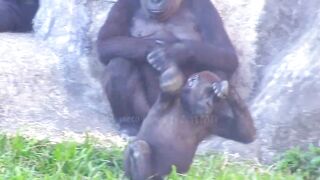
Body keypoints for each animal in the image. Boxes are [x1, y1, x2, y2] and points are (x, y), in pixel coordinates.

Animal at [99, 0, 239, 135]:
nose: (155, 1)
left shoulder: (205, 6)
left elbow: (226, 53)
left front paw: (172, 51)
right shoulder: (124, 3)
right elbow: (106, 43)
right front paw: (158, 47)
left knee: (217, 65)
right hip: (146, 114)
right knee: (119, 64)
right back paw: (128, 124)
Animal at [124, 59, 256, 179]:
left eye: (215, 98)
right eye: (208, 93)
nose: (209, 104)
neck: (185, 107)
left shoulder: (212, 118)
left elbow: (245, 134)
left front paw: (228, 89)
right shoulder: (167, 99)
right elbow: (171, 85)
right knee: (139, 147)